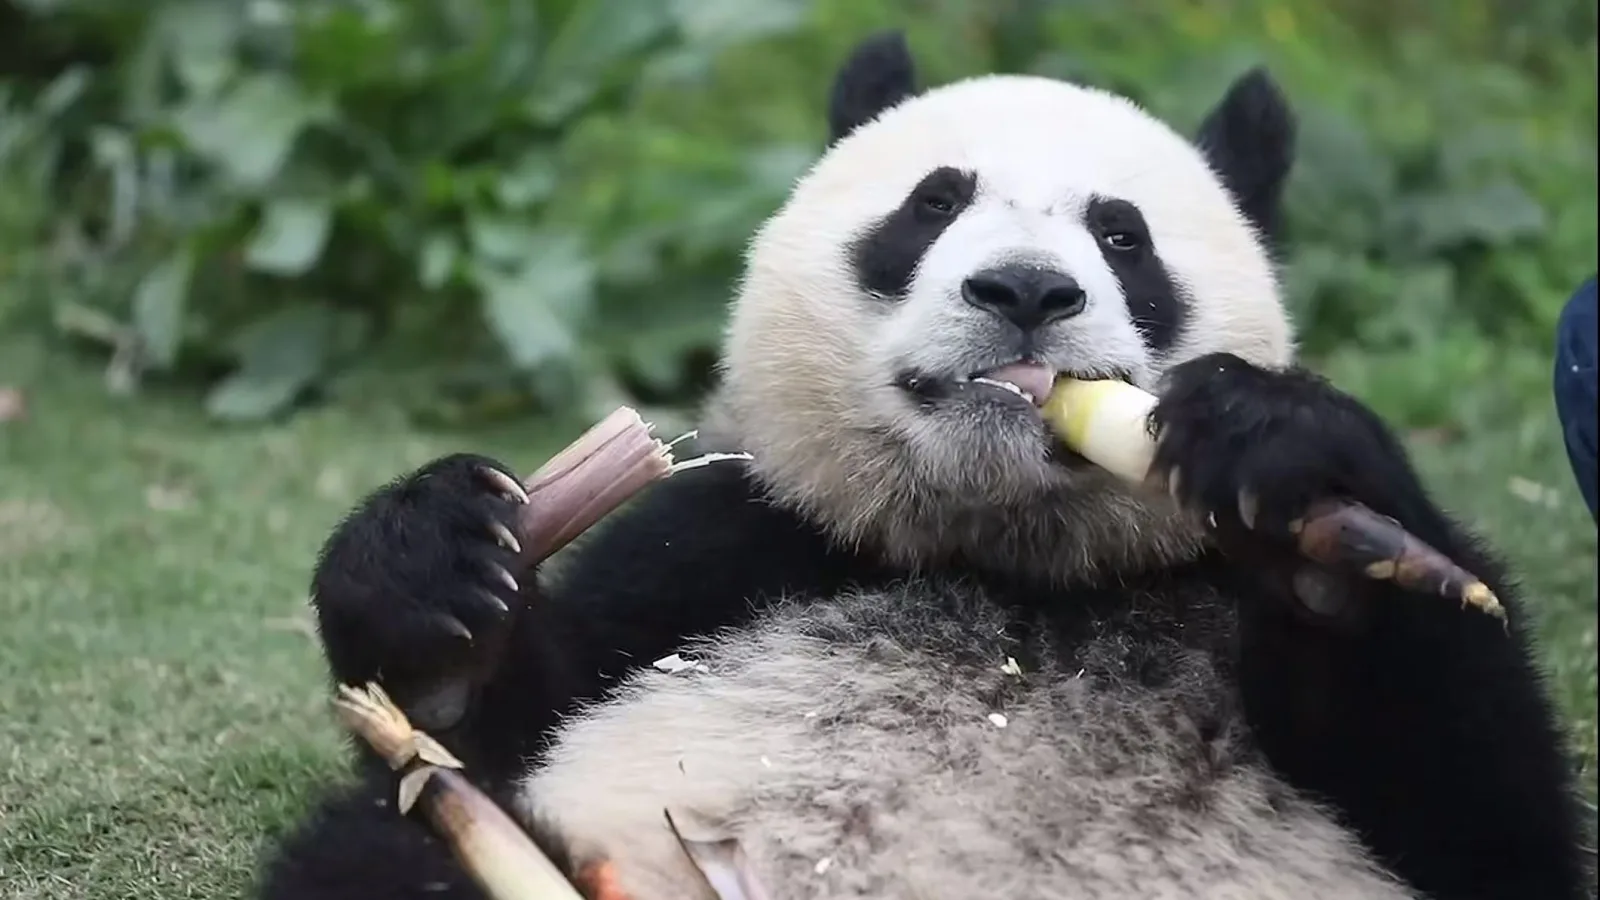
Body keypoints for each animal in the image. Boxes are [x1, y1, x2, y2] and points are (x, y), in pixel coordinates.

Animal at [259, 32, 1590, 900]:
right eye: (933, 203)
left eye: (1122, 235)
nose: (1024, 292)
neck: (1010, 562)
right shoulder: (733, 547)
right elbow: (491, 727)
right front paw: (433, 581)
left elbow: (1491, 826)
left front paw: (1302, 493)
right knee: (387, 855)